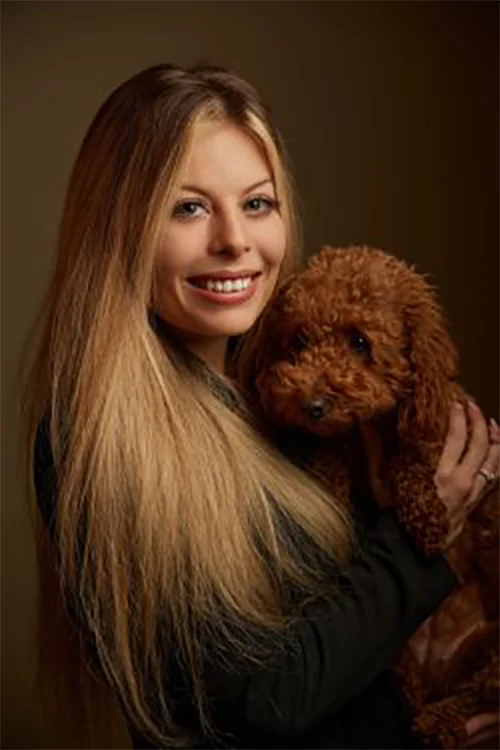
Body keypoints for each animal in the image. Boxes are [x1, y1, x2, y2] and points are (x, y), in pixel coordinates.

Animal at [247, 245, 500, 748]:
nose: (311, 406)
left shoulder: (433, 423)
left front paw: (428, 520)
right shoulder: (340, 438)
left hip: (492, 646)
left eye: (360, 342)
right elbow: (331, 454)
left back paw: (440, 724)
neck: (371, 424)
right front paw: (328, 487)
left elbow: (411, 456)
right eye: (298, 341)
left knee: (480, 694)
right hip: (402, 654)